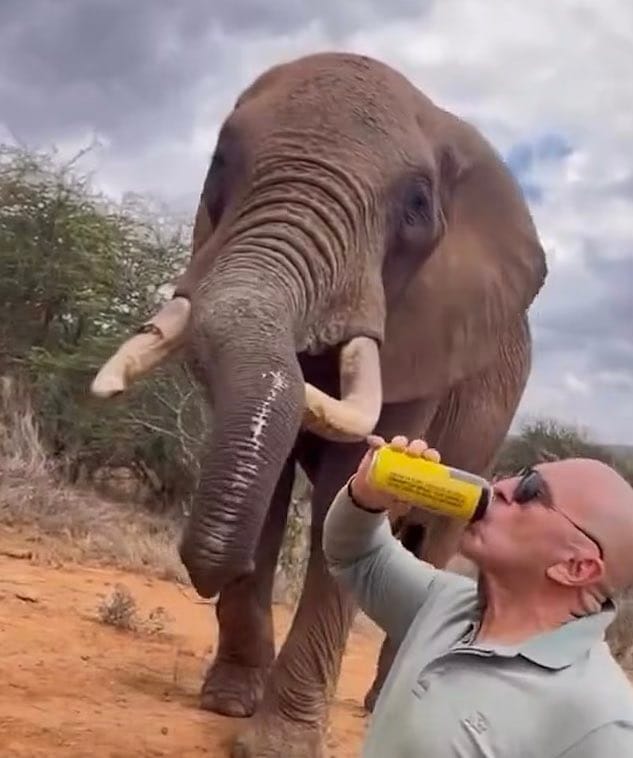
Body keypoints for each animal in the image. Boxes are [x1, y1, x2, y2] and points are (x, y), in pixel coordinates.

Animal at [90, 51, 547, 757]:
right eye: (219, 163)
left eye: (417, 203)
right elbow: (273, 483)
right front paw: (227, 704)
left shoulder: (427, 342)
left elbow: (343, 489)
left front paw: (276, 744)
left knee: (434, 543)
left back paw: (384, 699)